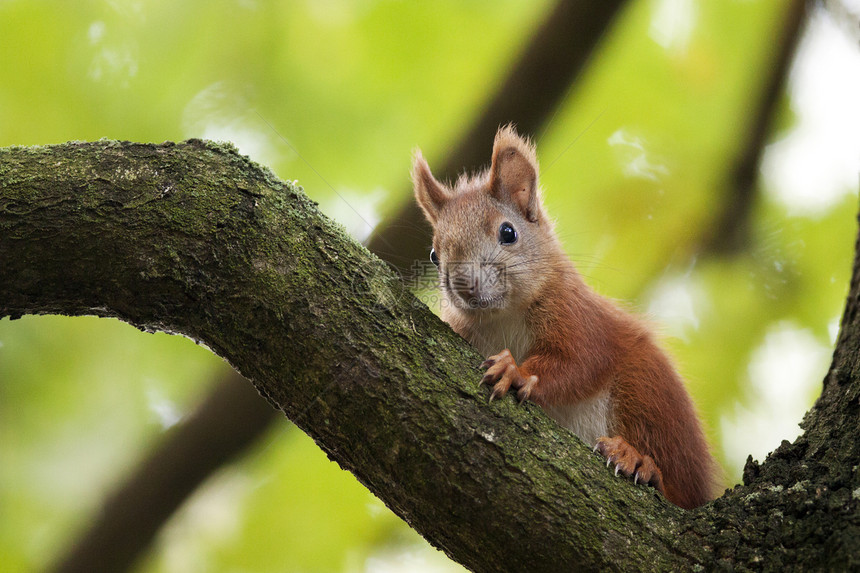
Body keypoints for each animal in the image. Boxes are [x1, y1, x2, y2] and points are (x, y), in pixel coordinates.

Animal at [414, 126, 716, 510]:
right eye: (434, 255)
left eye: (508, 233)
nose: (464, 285)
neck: (503, 316)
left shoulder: (577, 316)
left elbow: (580, 362)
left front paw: (516, 371)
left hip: (648, 396)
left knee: (678, 486)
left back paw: (639, 462)